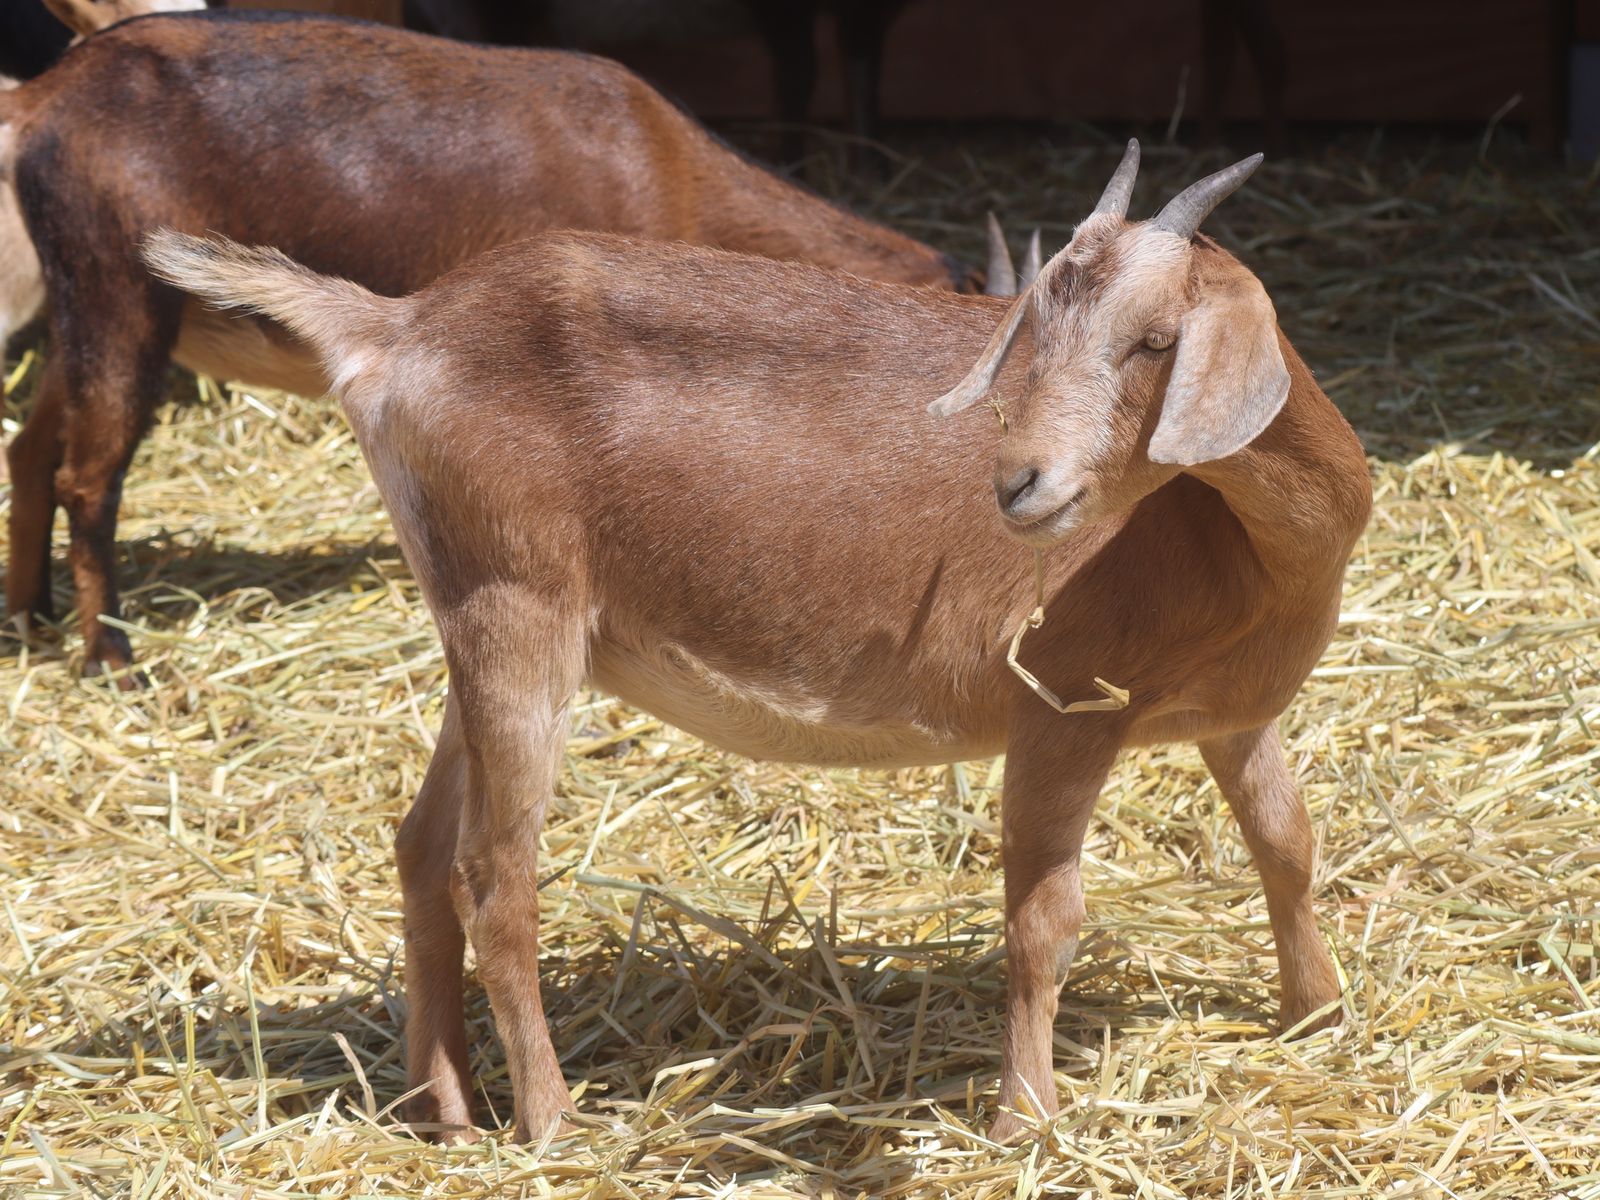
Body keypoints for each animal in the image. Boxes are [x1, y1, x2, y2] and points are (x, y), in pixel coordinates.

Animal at [0, 8, 972, 680]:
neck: (665, 165)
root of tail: (47, 97)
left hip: (76, 307)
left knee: (31, 448)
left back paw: (29, 614)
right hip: (119, 293)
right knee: (88, 474)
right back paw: (111, 658)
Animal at [144, 141, 1372, 1143]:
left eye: (1157, 340)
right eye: (1031, 330)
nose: (1021, 482)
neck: (1242, 544)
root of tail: (395, 328)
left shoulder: (1233, 715)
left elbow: (1286, 842)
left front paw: (1318, 1013)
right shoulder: (1061, 707)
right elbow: (1041, 923)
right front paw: (1027, 1119)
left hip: (475, 616)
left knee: (418, 846)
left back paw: (438, 1105)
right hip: (517, 610)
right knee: (493, 880)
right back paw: (550, 1120)